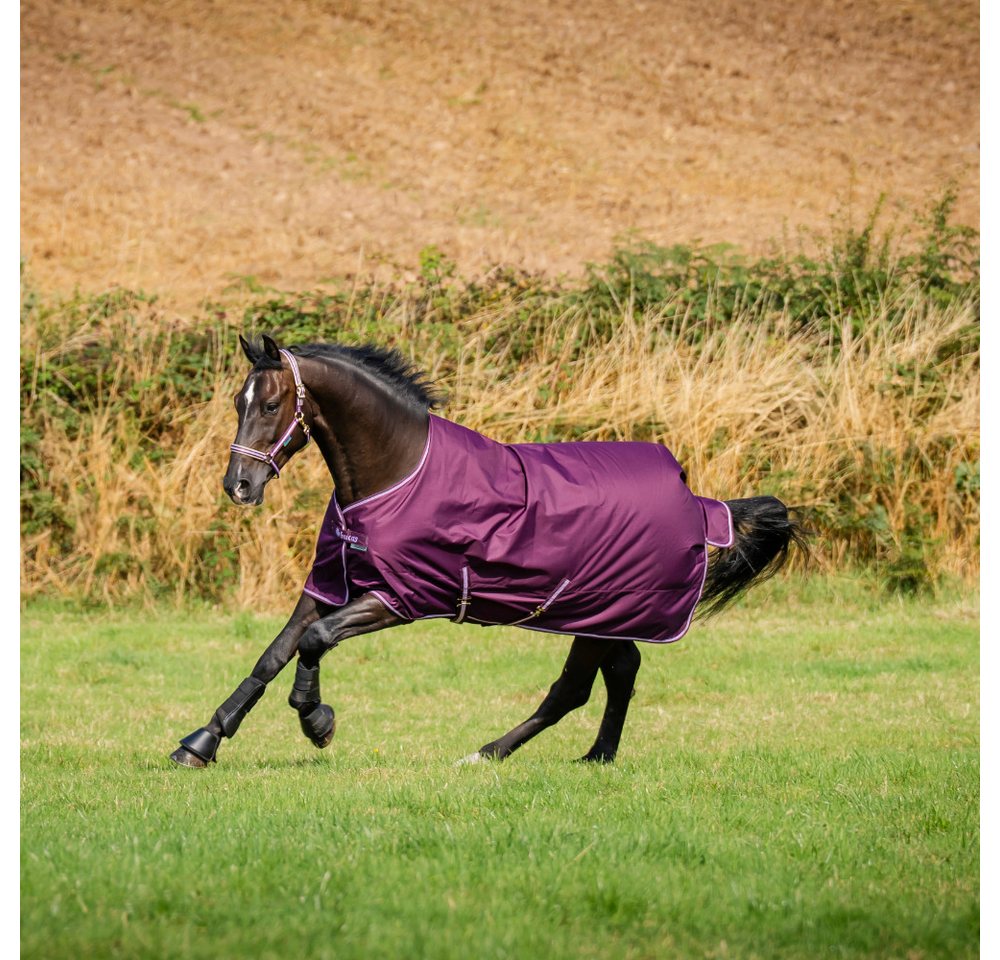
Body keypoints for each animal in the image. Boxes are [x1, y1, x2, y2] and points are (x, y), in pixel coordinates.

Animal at [169, 334, 807, 768]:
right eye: (237, 401)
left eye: (270, 405)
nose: (238, 486)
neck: (396, 473)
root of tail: (696, 498)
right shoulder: (331, 583)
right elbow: (274, 654)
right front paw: (200, 743)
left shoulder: (400, 597)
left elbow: (314, 641)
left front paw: (317, 722)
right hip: (606, 615)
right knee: (620, 671)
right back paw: (593, 755)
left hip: (600, 610)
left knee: (576, 687)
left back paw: (489, 752)